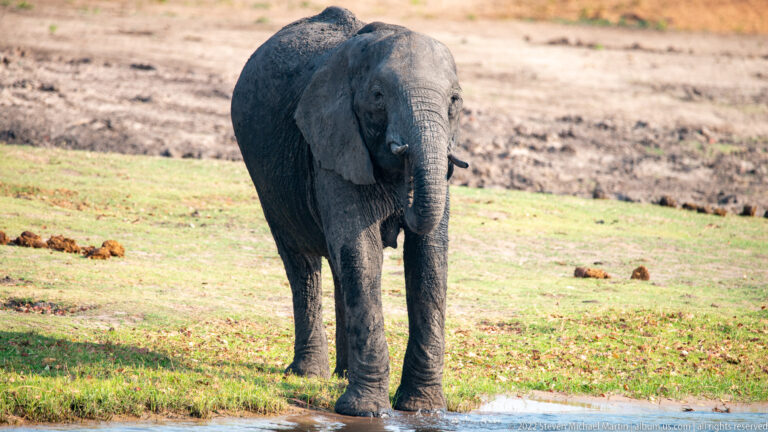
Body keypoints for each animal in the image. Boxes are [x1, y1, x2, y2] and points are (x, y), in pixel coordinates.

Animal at [230, 6, 466, 417]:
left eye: (454, 100)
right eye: (378, 96)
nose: (403, 198)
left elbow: (429, 257)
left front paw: (421, 409)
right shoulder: (332, 142)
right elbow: (363, 253)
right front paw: (364, 411)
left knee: (341, 268)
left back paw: (341, 374)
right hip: (269, 181)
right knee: (303, 265)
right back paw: (310, 374)